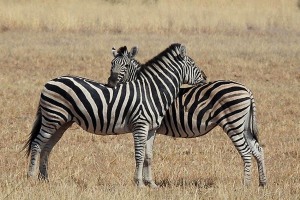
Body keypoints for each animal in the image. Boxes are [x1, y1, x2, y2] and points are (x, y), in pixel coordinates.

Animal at [23, 43, 207, 188]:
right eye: (192, 63)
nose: (205, 77)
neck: (152, 91)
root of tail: (50, 81)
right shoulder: (140, 125)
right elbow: (139, 155)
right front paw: (139, 183)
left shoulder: (152, 129)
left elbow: (149, 156)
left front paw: (152, 184)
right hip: (52, 117)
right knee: (37, 144)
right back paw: (31, 177)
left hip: (62, 122)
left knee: (47, 146)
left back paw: (44, 178)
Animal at [106, 46, 266, 187]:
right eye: (111, 64)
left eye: (126, 66)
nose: (110, 83)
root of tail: (247, 90)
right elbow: (147, 154)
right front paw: (147, 181)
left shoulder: (149, 125)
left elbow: (145, 154)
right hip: (244, 126)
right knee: (258, 150)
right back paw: (262, 183)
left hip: (233, 124)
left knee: (246, 153)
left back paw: (246, 185)